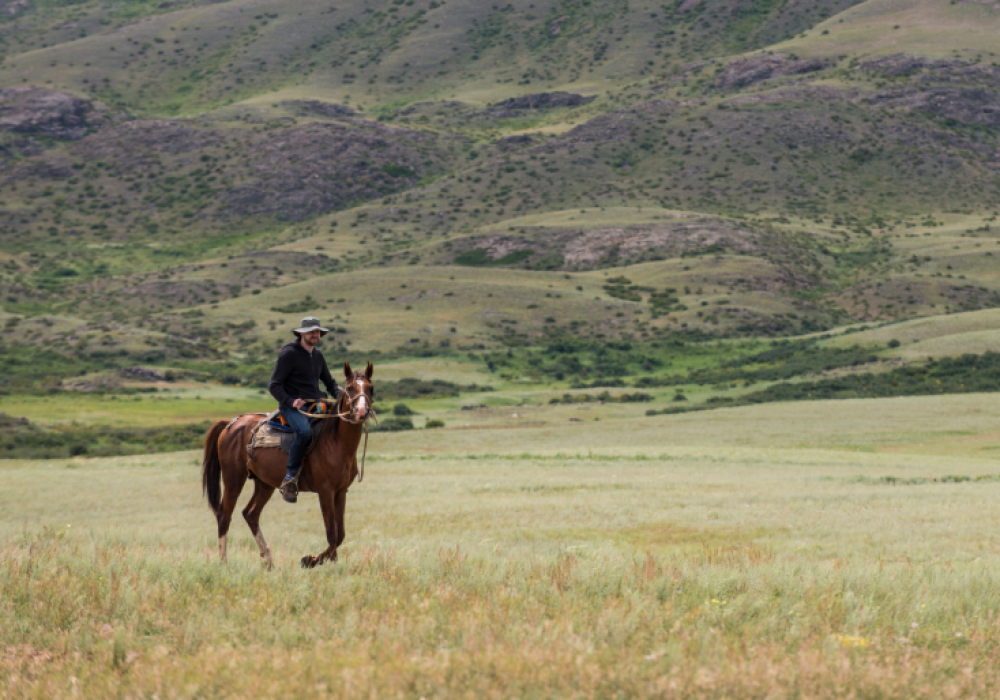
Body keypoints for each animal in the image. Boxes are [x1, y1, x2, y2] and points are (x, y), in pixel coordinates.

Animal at [199, 360, 376, 568]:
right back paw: (224, 562)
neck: (336, 441)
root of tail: (231, 424)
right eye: (349, 388)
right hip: (233, 479)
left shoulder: (340, 491)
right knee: (224, 515)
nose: (362, 412)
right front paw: (310, 560)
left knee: (250, 513)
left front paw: (320, 560)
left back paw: (268, 560)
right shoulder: (325, 491)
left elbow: (339, 535)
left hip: (264, 484)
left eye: (371, 388)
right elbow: (332, 535)